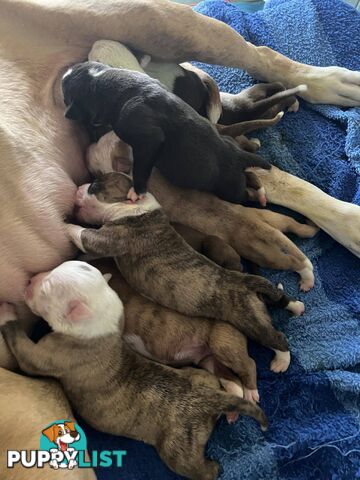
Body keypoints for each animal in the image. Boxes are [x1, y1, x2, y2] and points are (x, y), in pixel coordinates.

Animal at [0, 262, 268, 480]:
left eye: (46, 289)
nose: (29, 280)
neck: (101, 325)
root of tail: (209, 400)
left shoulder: (49, 354)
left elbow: (24, 349)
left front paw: (7, 312)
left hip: (179, 448)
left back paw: (215, 467)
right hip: (201, 374)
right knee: (220, 377)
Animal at [62, 60, 272, 202]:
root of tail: (239, 156)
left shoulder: (147, 137)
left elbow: (141, 164)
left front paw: (137, 191)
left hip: (230, 189)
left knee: (244, 195)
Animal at [67, 172, 304, 372]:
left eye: (95, 186)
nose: (79, 186)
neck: (137, 207)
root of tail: (247, 282)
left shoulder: (109, 238)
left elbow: (82, 233)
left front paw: (66, 224)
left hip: (250, 321)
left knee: (277, 339)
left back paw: (281, 362)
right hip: (259, 307)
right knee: (279, 297)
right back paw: (297, 306)